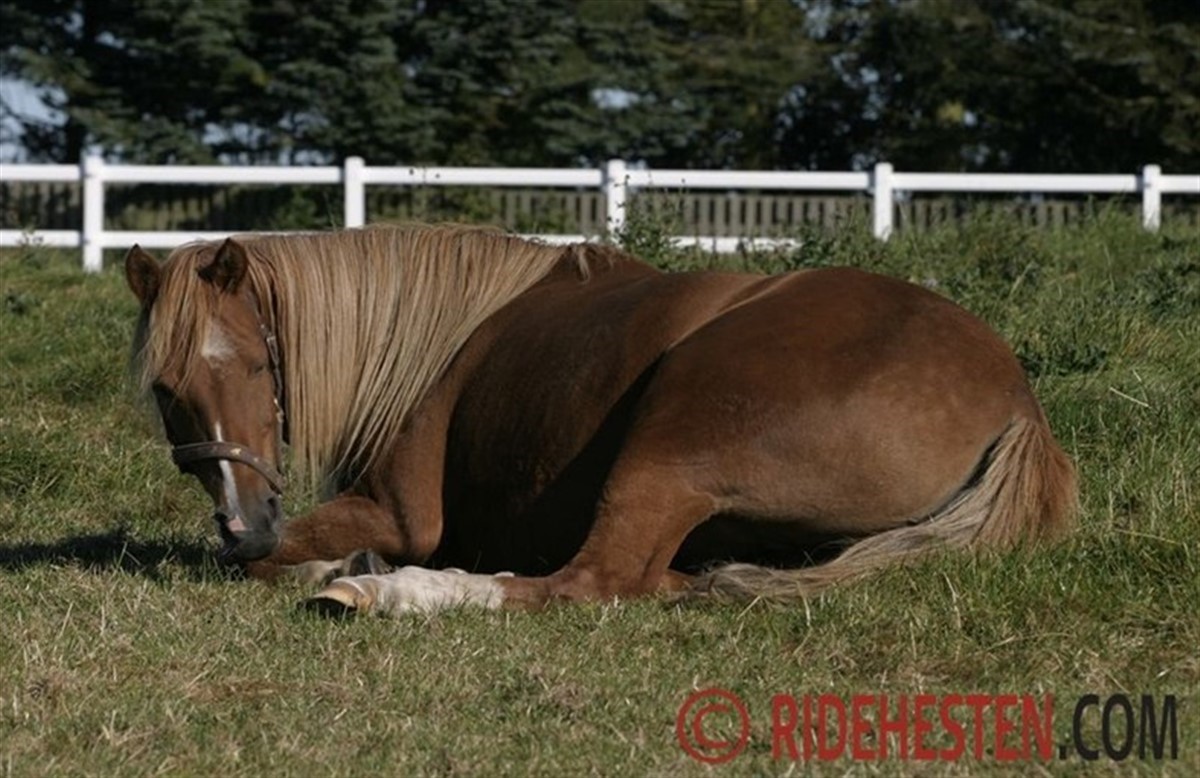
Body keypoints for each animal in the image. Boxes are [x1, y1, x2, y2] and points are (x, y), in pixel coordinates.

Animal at [124, 224, 1076, 616]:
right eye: (164, 388)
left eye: (255, 364)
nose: (245, 518)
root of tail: (1017, 403)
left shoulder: (394, 512)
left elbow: (253, 560)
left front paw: (332, 563)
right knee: (658, 581)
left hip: (671, 443)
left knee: (589, 582)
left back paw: (386, 591)